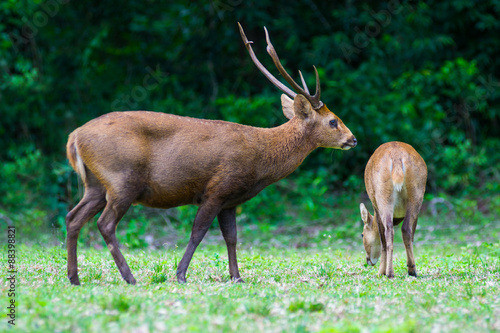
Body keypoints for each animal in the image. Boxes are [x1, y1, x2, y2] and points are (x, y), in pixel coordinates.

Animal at [65, 23, 356, 284]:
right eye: (333, 121)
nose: (352, 139)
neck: (260, 161)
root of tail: (74, 137)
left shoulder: (231, 200)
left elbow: (232, 237)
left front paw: (236, 276)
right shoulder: (218, 187)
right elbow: (198, 232)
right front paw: (181, 274)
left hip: (96, 184)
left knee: (73, 217)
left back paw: (74, 277)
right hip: (122, 178)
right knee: (105, 223)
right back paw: (129, 277)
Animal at [360, 141, 426, 276]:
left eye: (362, 235)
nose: (368, 260)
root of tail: (396, 158)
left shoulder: (375, 207)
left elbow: (382, 239)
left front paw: (381, 271)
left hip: (383, 196)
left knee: (388, 230)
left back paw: (389, 272)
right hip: (416, 195)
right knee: (406, 229)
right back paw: (411, 269)